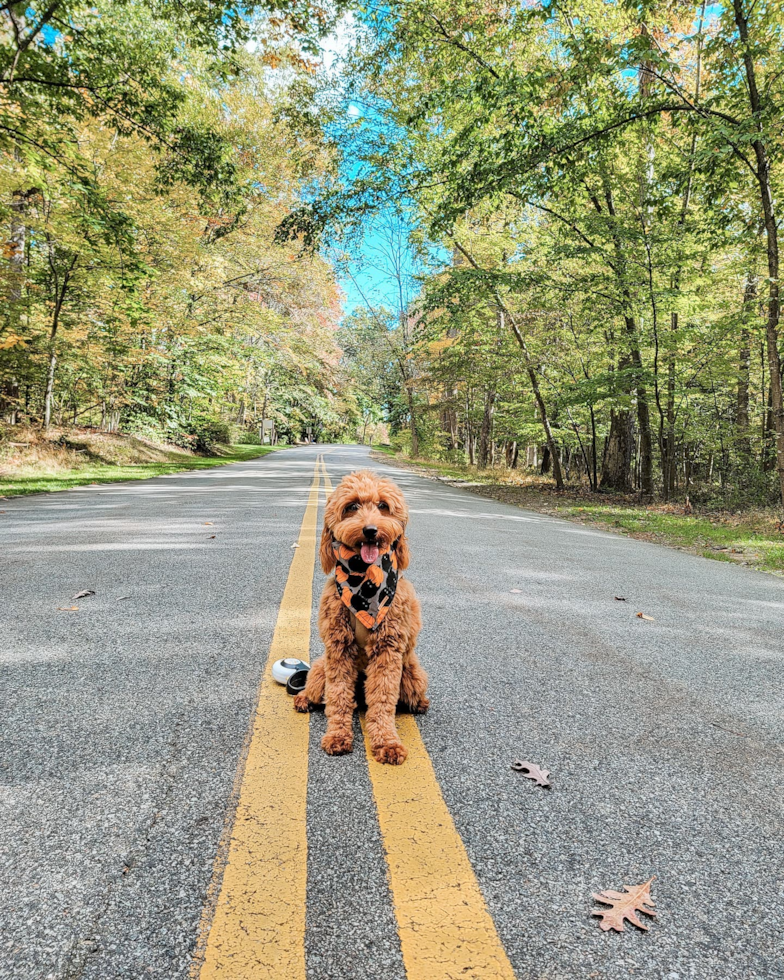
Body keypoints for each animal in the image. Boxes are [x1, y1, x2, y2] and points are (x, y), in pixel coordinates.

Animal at [294, 468, 428, 764]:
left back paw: (421, 704)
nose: (370, 530)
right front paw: (337, 736)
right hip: (320, 667)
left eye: (383, 506)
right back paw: (304, 699)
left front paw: (387, 743)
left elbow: (382, 700)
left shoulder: (388, 650)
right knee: (316, 689)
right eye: (352, 506)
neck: (364, 585)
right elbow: (338, 696)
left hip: (413, 674)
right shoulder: (338, 647)